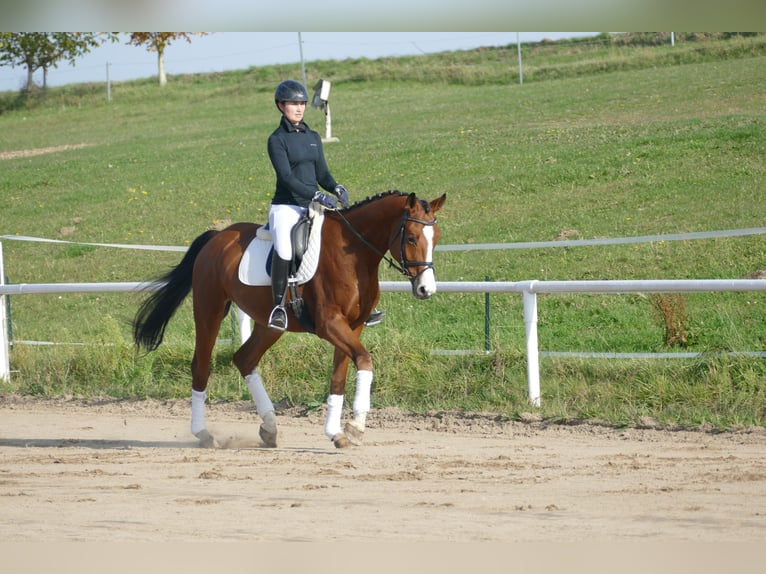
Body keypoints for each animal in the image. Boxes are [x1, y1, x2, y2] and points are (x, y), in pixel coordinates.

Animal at [130, 192, 444, 450]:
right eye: (411, 238)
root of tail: (218, 237)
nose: (426, 289)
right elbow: (365, 360)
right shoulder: (329, 324)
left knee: (245, 359)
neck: (354, 252)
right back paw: (204, 434)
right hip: (209, 309)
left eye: (436, 238)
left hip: (268, 325)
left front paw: (336, 433)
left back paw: (269, 428)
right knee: (201, 365)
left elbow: (339, 377)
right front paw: (355, 427)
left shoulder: (352, 328)